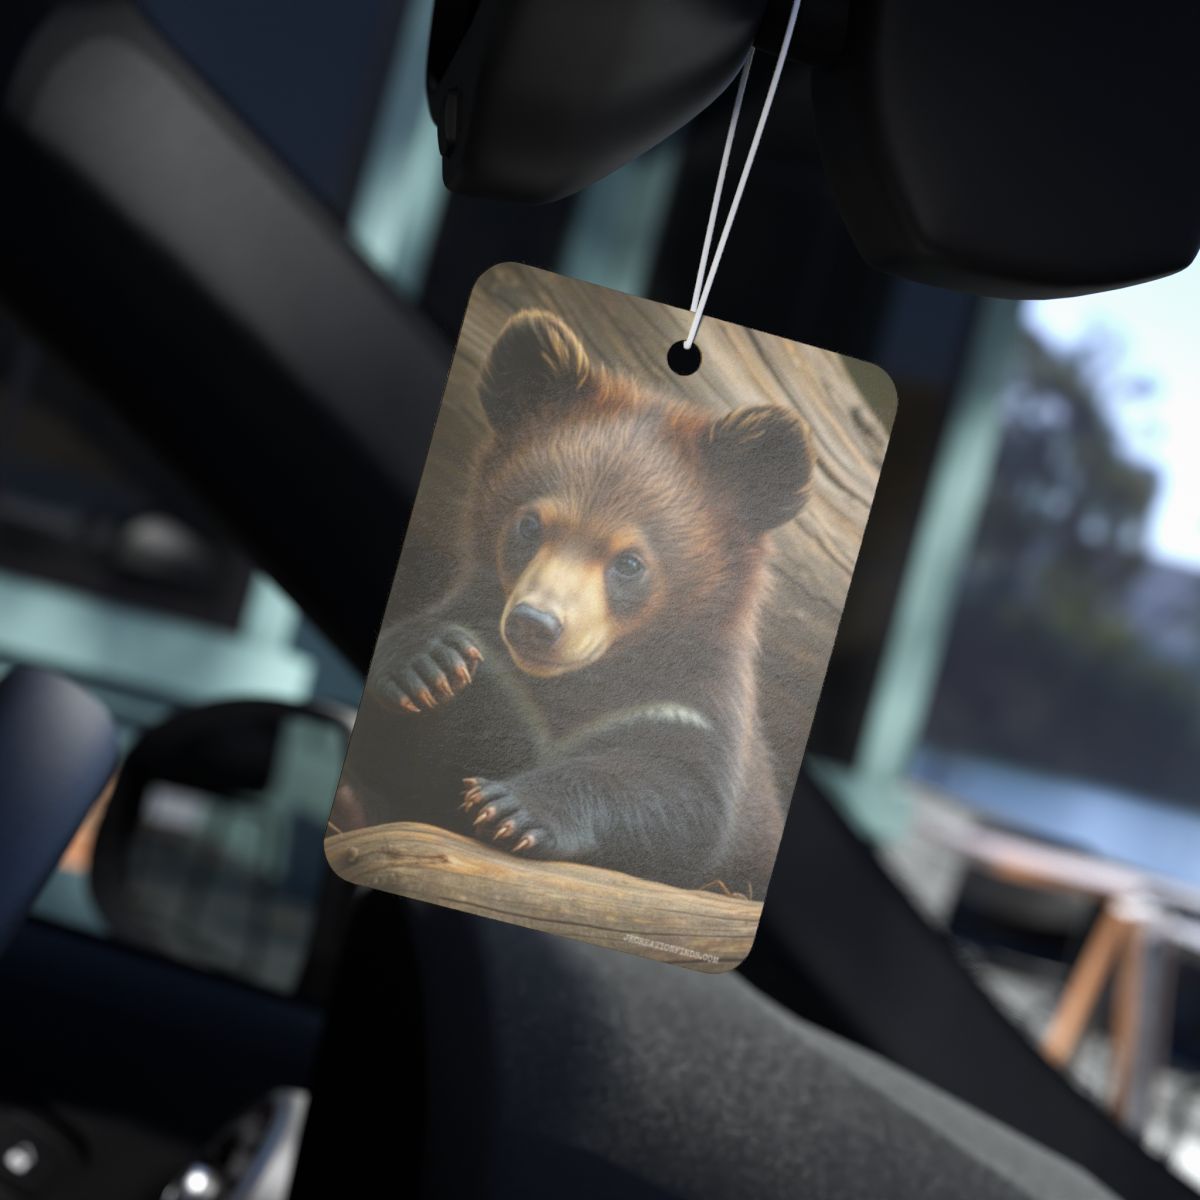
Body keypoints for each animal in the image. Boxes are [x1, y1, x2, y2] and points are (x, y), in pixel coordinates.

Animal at [340, 308, 813, 897]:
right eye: (529, 524)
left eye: (629, 563)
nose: (535, 624)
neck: (576, 684)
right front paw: (431, 667)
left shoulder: (691, 706)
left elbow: (682, 797)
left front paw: (511, 808)